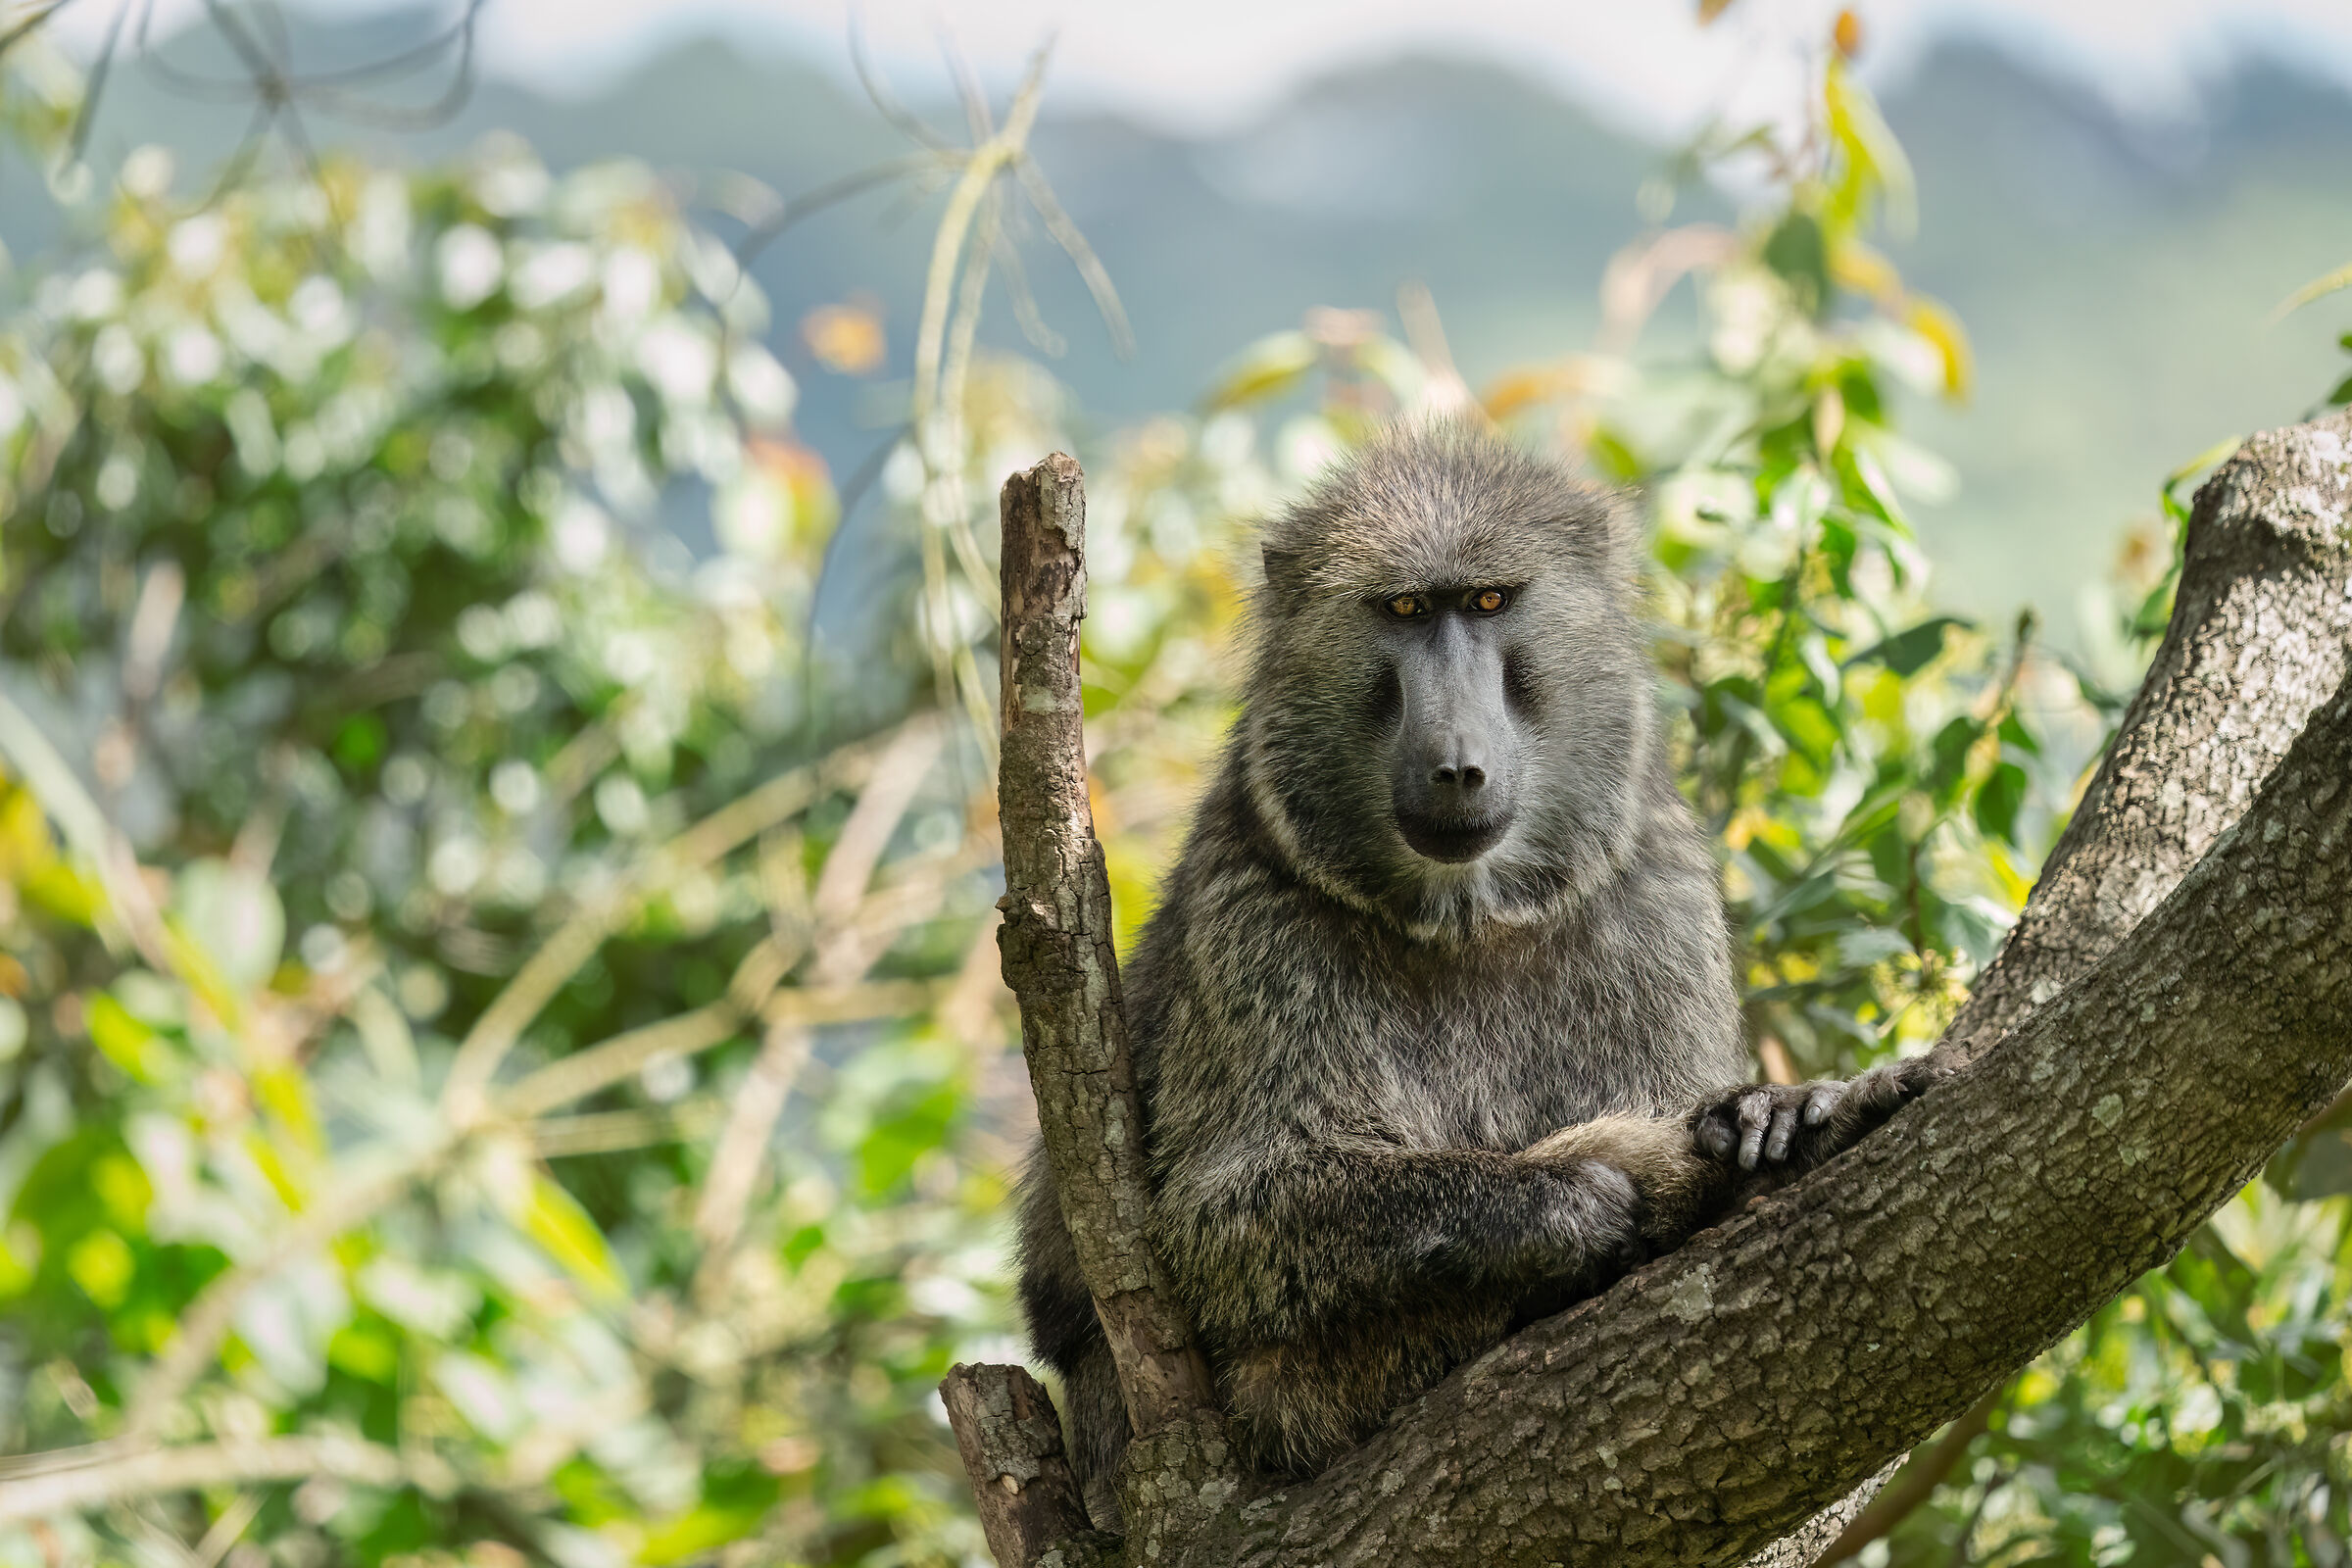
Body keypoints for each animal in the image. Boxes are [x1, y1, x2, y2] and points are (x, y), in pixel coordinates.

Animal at [1017, 421, 1935, 1532]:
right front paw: (1565, 1201)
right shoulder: (1255, 918)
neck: (1471, 916)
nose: (1457, 765)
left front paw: (1767, 1115)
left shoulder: (1661, 887)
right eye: (1406, 611)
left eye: (1491, 601)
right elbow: (1213, 1226)